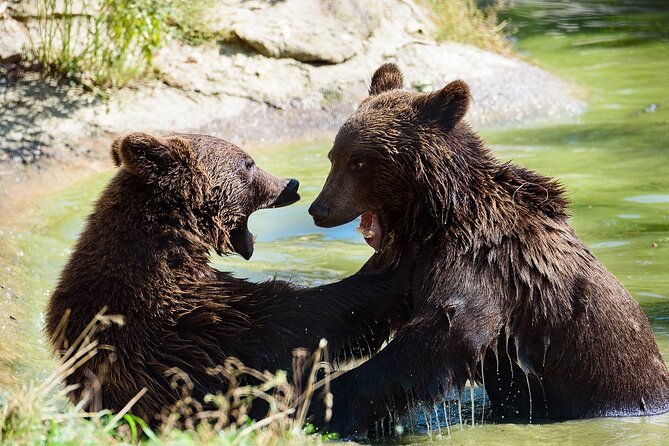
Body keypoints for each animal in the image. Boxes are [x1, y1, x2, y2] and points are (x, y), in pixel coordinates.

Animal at [45, 132, 412, 426]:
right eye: (248, 163)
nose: (290, 184)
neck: (174, 240)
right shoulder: (185, 317)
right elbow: (296, 319)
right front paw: (395, 272)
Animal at [307, 63, 669, 435]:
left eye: (359, 162)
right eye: (334, 156)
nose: (319, 209)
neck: (436, 213)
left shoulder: (483, 260)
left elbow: (444, 331)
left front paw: (325, 402)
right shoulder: (410, 256)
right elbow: (361, 301)